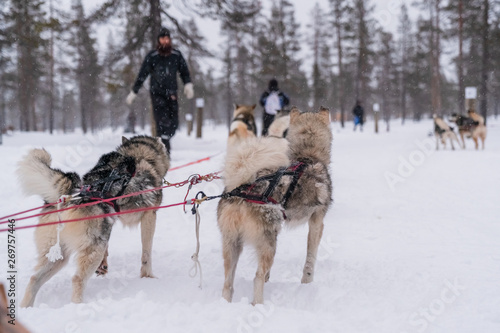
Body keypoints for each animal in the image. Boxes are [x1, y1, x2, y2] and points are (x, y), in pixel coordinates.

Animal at [18, 148, 136, 306]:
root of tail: (69, 196)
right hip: (93, 251)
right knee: (78, 279)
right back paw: (78, 304)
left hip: (57, 255)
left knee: (34, 278)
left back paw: (26, 307)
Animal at [218, 106, 332, 304]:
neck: (308, 156)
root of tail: (239, 189)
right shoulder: (317, 222)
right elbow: (310, 258)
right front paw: (307, 282)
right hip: (268, 243)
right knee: (257, 277)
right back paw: (258, 304)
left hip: (232, 244)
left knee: (228, 283)